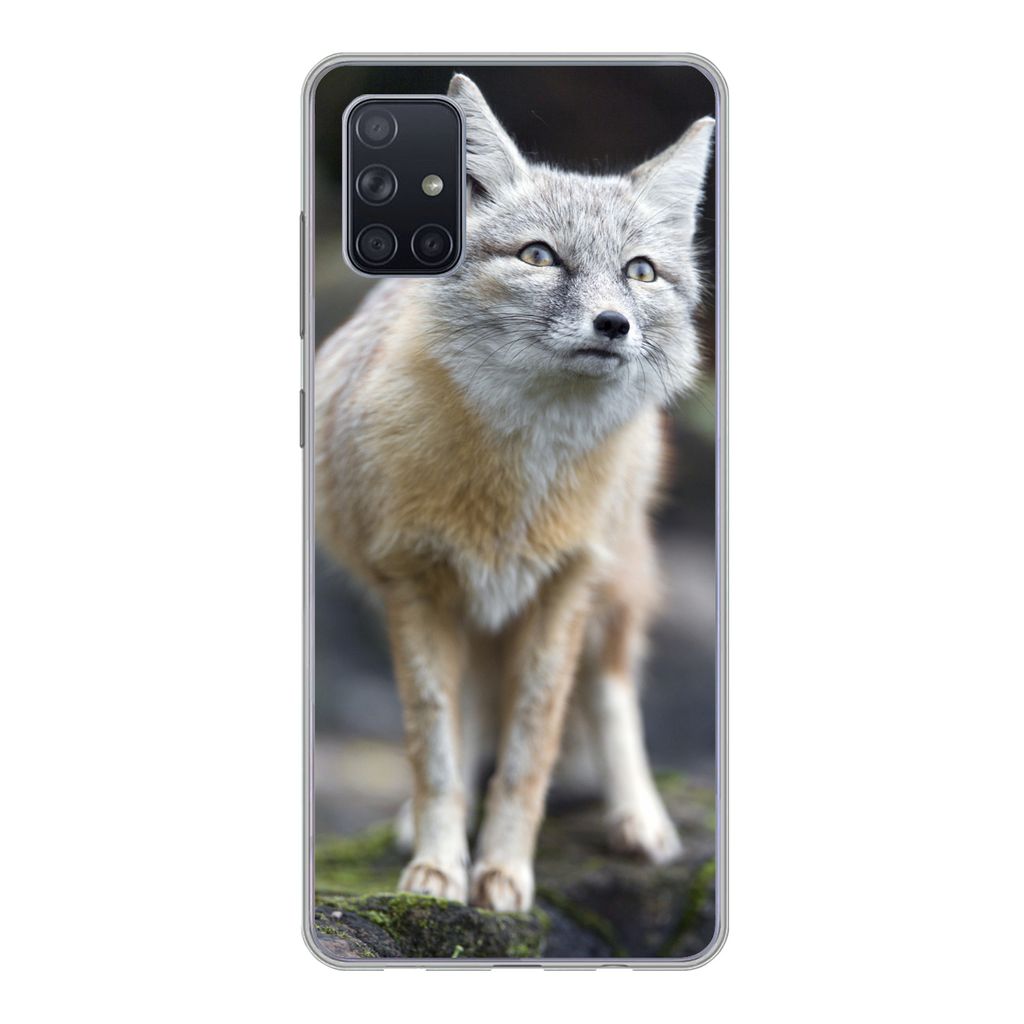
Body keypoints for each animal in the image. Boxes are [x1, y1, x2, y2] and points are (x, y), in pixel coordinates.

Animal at [315, 74, 714, 912]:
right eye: (540, 256)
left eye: (640, 271)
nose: (613, 324)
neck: (516, 492)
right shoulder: (414, 586)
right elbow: (434, 748)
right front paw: (438, 869)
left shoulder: (563, 588)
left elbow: (531, 750)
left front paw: (504, 872)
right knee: (470, 713)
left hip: (613, 588)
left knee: (612, 689)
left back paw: (639, 817)